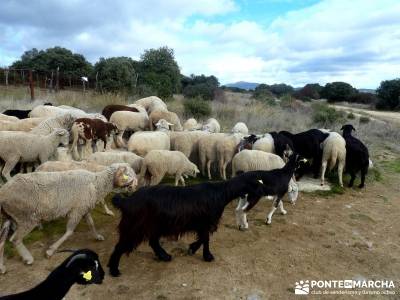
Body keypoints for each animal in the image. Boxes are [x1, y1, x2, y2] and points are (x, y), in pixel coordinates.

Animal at [0, 164, 138, 272]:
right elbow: (69, 232)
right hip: (27, 218)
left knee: (2, 241)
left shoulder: (83, 208)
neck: (97, 183)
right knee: (15, 239)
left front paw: (97, 236)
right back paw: (28, 258)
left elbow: (91, 223)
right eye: (127, 174)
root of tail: (3, 192)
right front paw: (50, 251)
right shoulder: (76, 211)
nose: (135, 186)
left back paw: (2, 268)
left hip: (9, 217)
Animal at [108, 173, 268, 276]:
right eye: (256, 184)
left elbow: (203, 238)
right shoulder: (205, 223)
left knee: (153, 242)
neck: (221, 192)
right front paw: (207, 256)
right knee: (120, 247)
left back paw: (164, 256)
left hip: (154, 226)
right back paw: (114, 270)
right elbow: (206, 239)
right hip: (134, 227)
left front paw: (192, 248)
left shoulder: (202, 224)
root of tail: (127, 201)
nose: (267, 191)